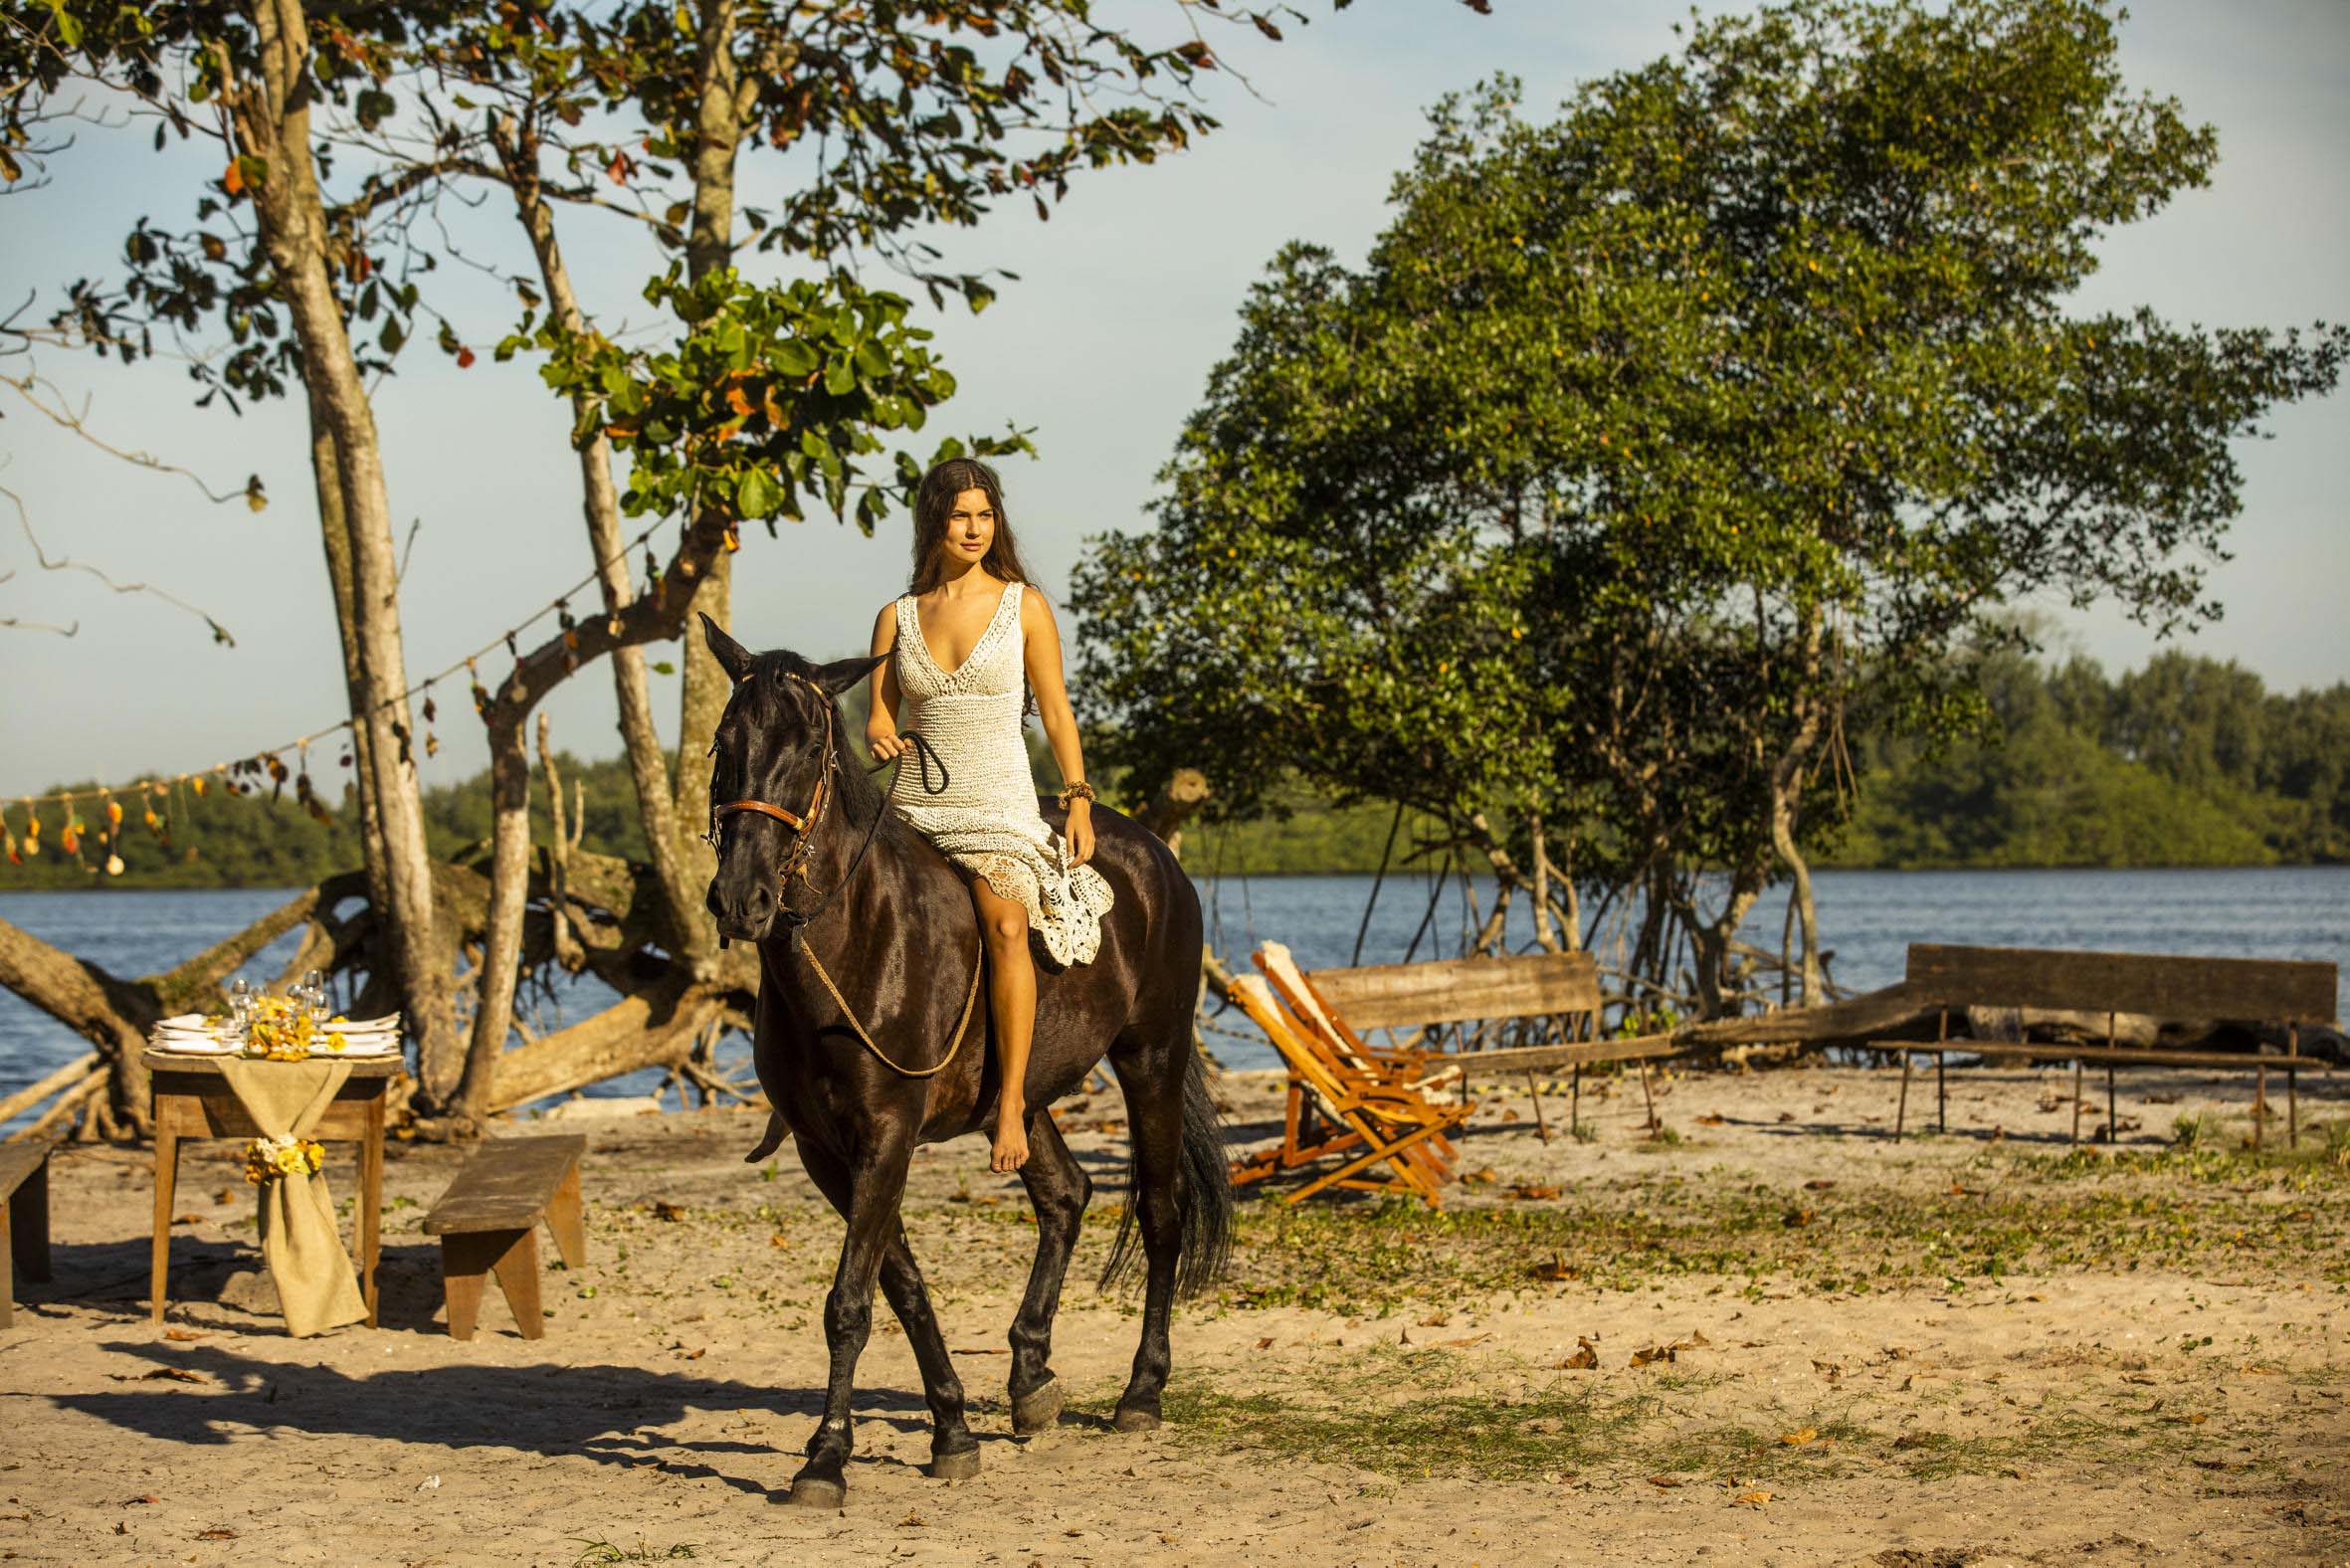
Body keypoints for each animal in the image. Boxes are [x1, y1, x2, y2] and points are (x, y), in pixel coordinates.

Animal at [690, 616, 1231, 1504]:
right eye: (724, 742)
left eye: (808, 749)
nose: (743, 899)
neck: (857, 940)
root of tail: (1155, 856)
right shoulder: (826, 1151)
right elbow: (899, 1286)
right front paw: (950, 1427)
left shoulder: (885, 1135)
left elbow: (849, 1301)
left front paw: (826, 1458)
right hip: (1022, 1099)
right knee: (1067, 1196)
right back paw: (1030, 1377)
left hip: (1151, 1058)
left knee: (1160, 1214)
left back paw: (1141, 1391)